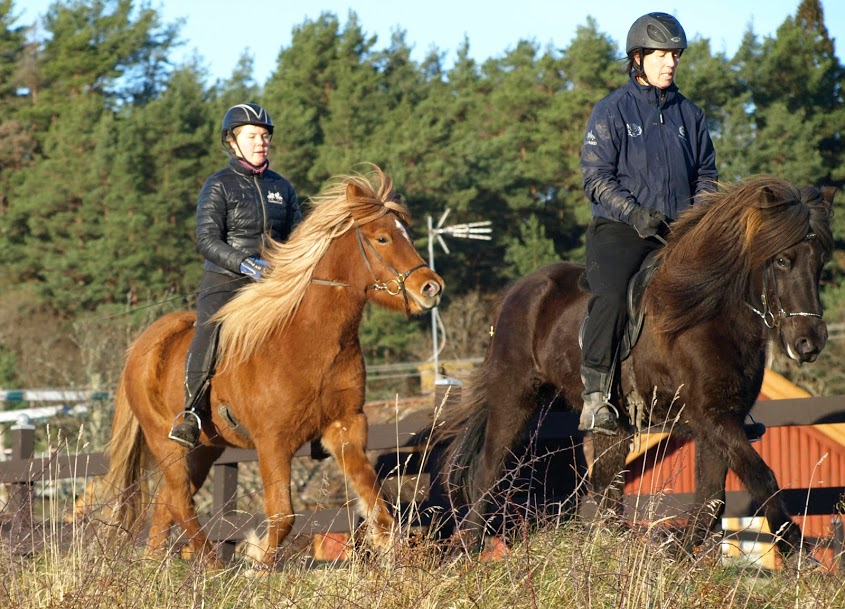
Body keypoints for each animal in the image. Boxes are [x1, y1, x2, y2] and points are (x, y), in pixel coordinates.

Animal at [103, 166, 446, 564]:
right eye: (382, 237)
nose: (432, 288)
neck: (308, 341)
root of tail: (142, 345)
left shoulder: (345, 426)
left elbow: (376, 502)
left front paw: (391, 551)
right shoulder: (272, 442)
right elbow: (283, 517)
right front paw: (256, 564)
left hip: (206, 448)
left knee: (167, 503)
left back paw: (159, 565)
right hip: (166, 441)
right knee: (180, 501)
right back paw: (214, 565)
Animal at [438, 176, 836, 556]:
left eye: (820, 261)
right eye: (782, 260)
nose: (809, 342)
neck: (706, 313)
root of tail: (516, 291)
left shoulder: (722, 418)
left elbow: (710, 499)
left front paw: (677, 556)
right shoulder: (712, 418)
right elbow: (761, 477)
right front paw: (797, 553)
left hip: (609, 423)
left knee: (605, 489)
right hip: (515, 396)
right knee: (488, 472)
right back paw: (468, 547)